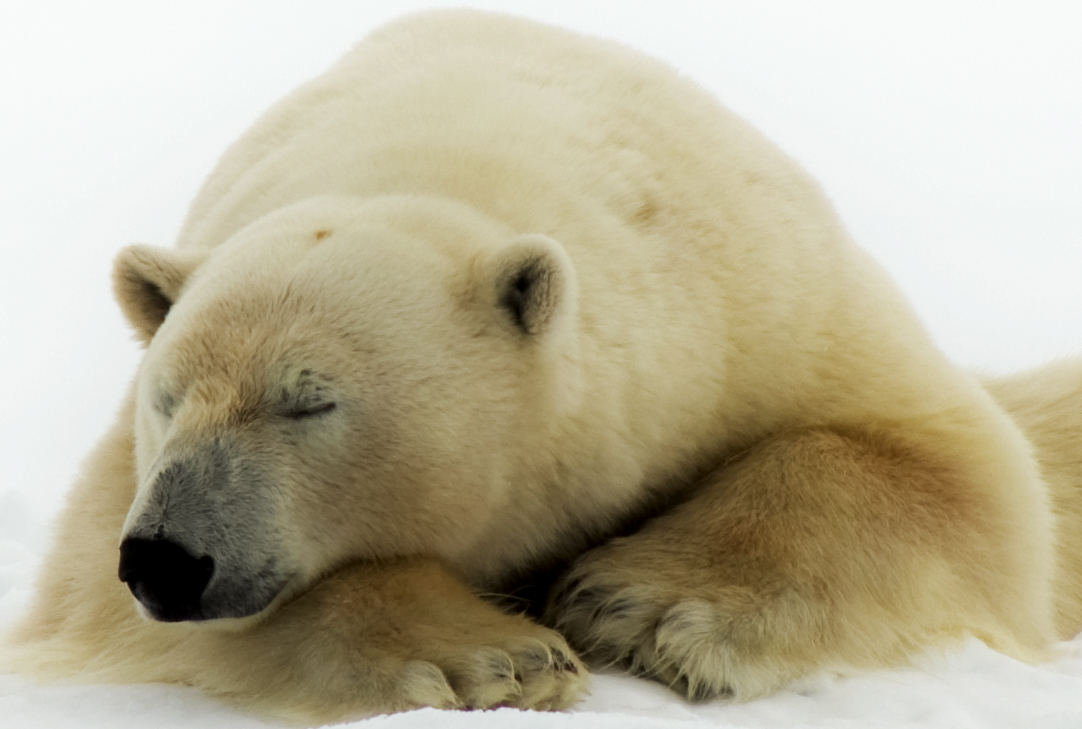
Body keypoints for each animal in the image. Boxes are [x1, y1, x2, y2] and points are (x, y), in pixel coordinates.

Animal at [5, 8, 1082, 725]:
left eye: (309, 403)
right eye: (167, 398)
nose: (168, 558)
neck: (440, 172)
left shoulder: (765, 310)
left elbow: (953, 471)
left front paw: (643, 612)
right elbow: (82, 588)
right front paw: (489, 658)